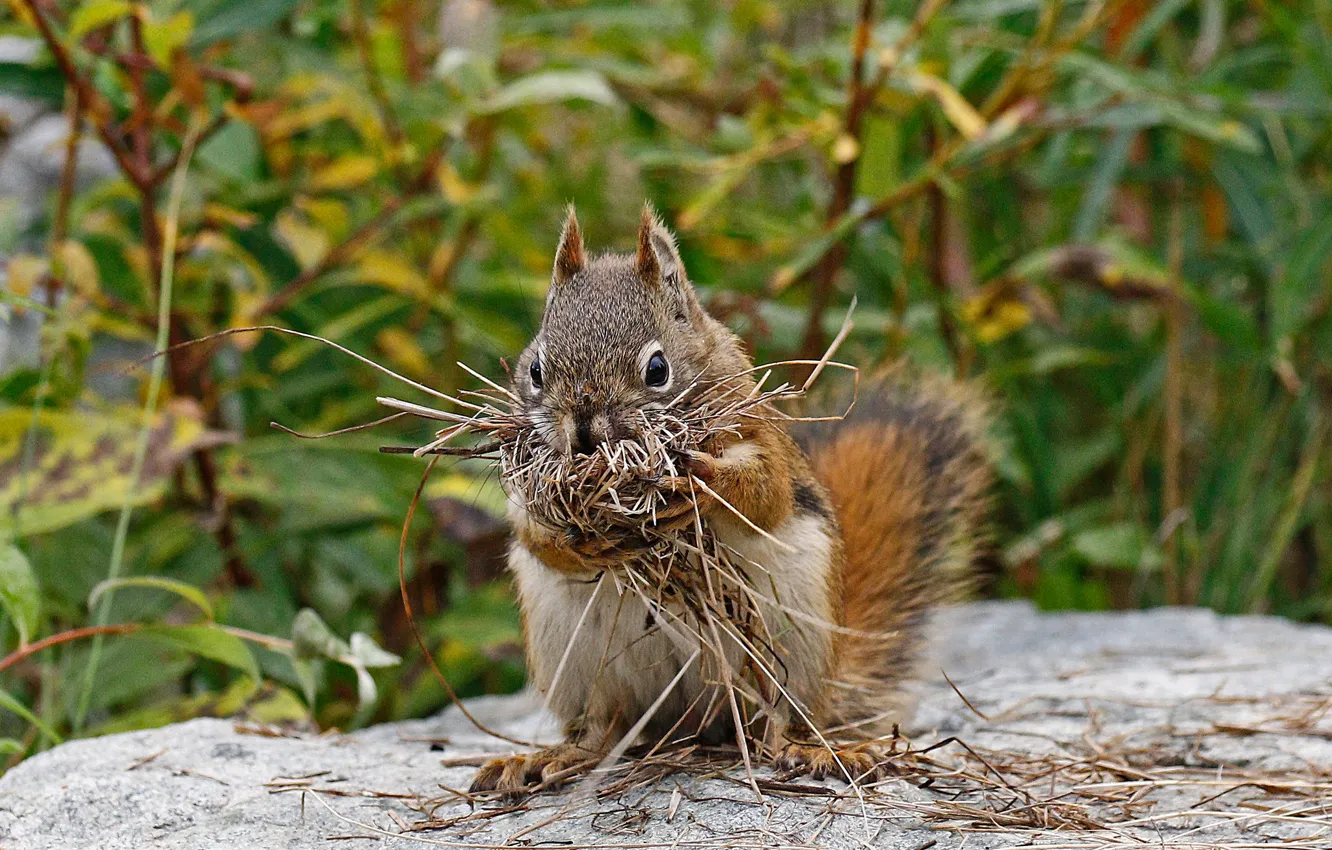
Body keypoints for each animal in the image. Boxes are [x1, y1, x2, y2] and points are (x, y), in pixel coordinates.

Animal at [469, 204, 990, 795]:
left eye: (657, 370)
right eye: (535, 369)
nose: (583, 432)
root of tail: (696, 724)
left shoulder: (759, 436)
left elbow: (764, 492)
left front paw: (694, 482)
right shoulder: (523, 491)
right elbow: (531, 532)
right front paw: (579, 541)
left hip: (795, 643)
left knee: (782, 715)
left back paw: (811, 749)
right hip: (574, 663)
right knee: (603, 727)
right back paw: (547, 758)